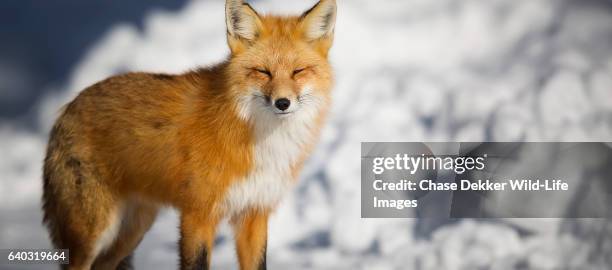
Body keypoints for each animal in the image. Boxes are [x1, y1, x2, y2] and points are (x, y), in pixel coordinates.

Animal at [43, 1, 338, 268]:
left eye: (298, 71)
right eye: (263, 72)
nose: (282, 103)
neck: (259, 138)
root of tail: (68, 107)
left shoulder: (253, 213)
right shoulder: (198, 214)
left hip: (133, 230)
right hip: (93, 232)